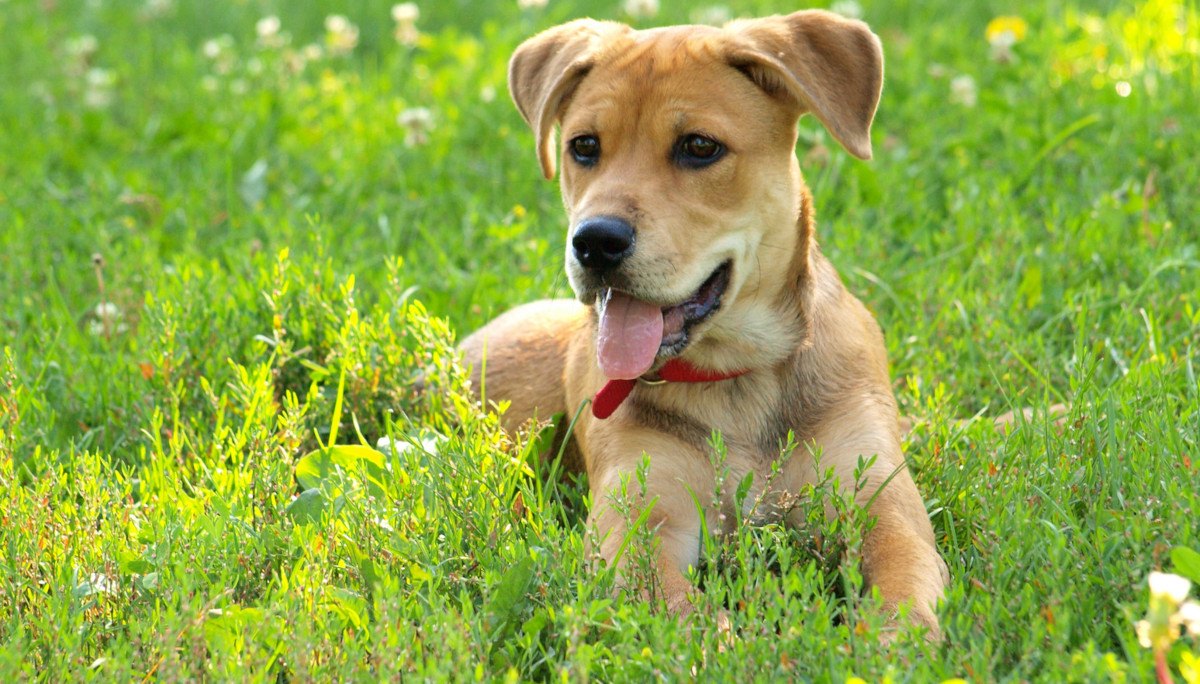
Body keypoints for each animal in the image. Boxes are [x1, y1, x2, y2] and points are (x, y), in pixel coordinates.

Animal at [456, 9, 945, 638]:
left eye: (699, 147)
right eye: (583, 146)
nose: (595, 242)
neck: (738, 379)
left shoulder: (880, 500)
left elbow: (903, 592)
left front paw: (882, 645)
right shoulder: (638, 521)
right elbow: (692, 625)